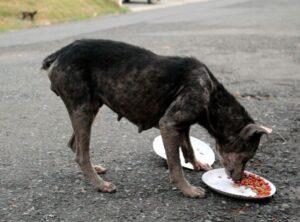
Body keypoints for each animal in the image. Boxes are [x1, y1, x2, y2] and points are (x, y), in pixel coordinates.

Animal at [41, 38, 270, 198]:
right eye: (246, 157)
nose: (239, 180)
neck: (212, 96)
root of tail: (58, 54)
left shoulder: (181, 126)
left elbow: (188, 148)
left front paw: (197, 164)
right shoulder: (168, 124)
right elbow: (175, 164)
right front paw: (188, 190)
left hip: (88, 106)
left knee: (75, 145)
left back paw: (94, 170)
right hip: (83, 108)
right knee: (81, 154)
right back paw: (100, 185)